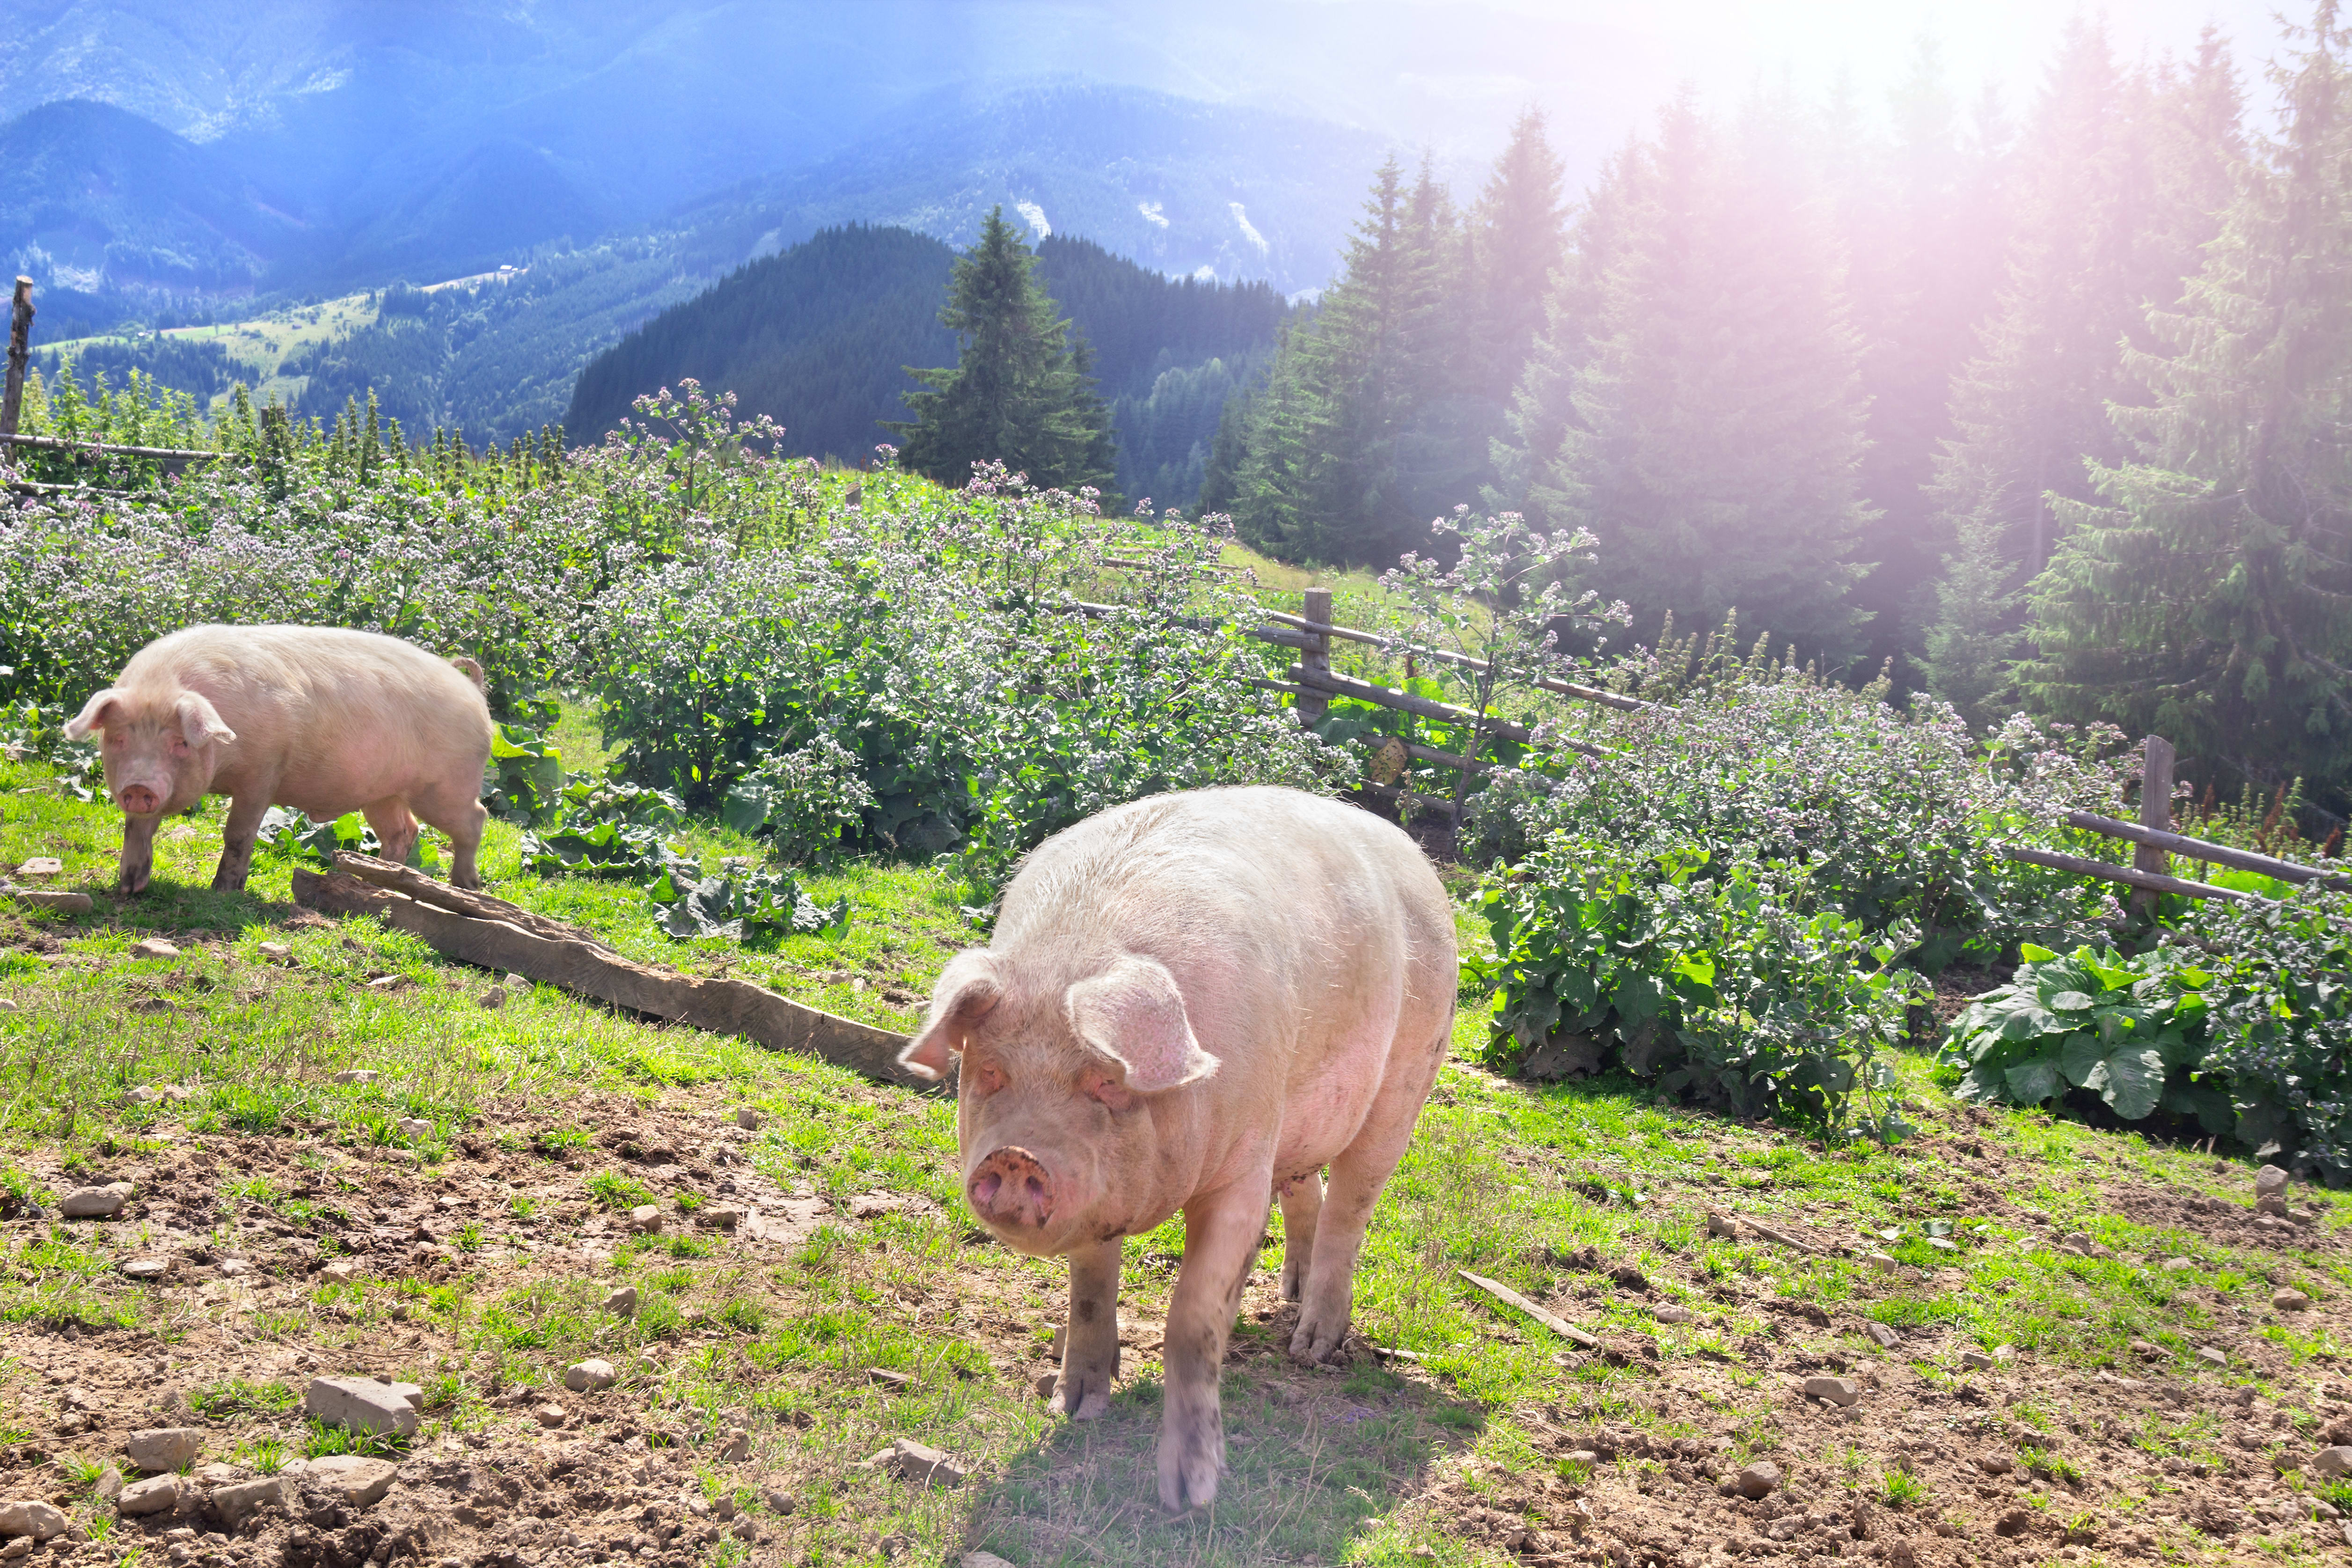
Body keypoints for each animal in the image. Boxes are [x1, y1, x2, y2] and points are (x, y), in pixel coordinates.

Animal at [62, 624, 494, 895]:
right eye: (118, 738)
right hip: (383, 793)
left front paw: (223, 892)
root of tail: (472, 692)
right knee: (403, 831)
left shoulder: (263, 772)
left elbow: (238, 834)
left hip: (445, 786)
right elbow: (137, 829)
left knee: (475, 820)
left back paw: (465, 887)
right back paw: (376, 882)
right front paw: (128, 888)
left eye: (181, 743)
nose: (139, 786)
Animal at [899, 785, 1456, 1511]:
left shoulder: (1242, 1164)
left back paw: (1310, 1345)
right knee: (1305, 1189)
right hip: (1297, 1117)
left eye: (1108, 1081)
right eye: (990, 1070)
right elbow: (1089, 1290)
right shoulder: (1102, 1194)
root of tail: (1417, 858)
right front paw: (1072, 1407)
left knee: (1351, 1207)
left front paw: (1190, 1492)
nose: (1016, 1156)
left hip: (1407, 1080)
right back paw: (1285, 1294)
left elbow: (1191, 1317)